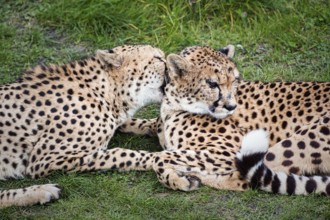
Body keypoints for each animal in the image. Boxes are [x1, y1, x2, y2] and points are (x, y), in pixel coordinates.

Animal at [0, 45, 168, 208]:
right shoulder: (44, 159)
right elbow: (120, 154)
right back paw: (42, 191)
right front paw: (163, 158)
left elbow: (131, 122)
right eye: (158, 58)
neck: (104, 92)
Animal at [120, 45, 330, 196]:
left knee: (246, 180)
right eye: (212, 84)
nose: (231, 106)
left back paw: (195, 174)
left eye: (234, 80)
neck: (174, 104)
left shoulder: (227, 151)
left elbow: (160, 157)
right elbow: (149, 130)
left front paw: (178, 178)